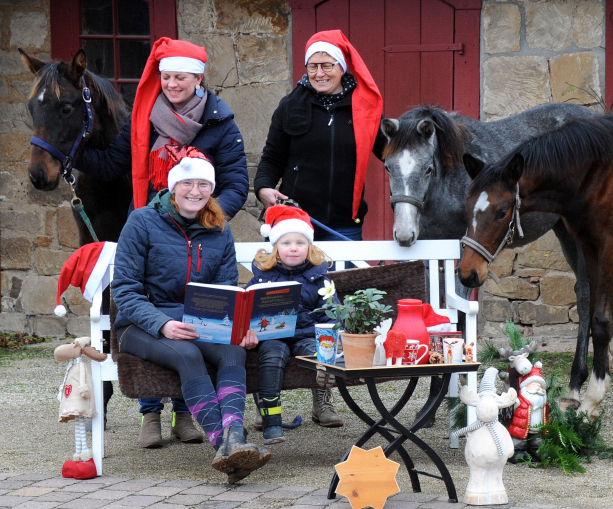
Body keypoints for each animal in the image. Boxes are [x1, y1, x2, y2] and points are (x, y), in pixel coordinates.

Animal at [380, 103, 596, 408]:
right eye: (388, 166)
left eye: (427, 169)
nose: (404, 235)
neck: (447, 182)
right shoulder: (432, 259)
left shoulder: (462, 258)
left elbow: (455, 315)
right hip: (564, 230)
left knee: (587, 294)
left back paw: (577, 383)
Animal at [460, 114, 612, 416]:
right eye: (467, 206)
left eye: (501, 211)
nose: (468, 274)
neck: (596, 175)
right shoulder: (590, 245)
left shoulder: (606, 245)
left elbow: (600, 320)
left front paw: (591, 399)